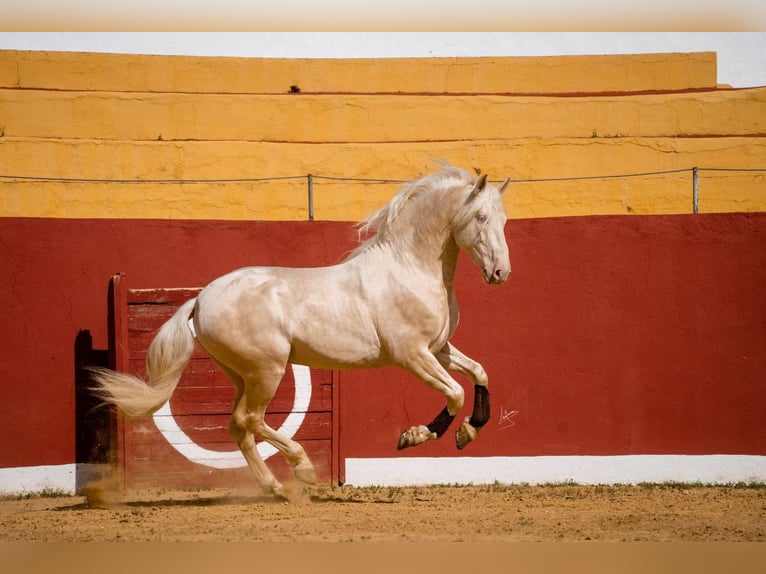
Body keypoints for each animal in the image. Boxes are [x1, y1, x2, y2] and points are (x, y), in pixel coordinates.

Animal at [90, 164, 510, 498]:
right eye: (481, 217)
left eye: (504, 220)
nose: (500, 273)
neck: (410, 269)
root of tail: (201, 299)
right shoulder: (412, 355)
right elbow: (455, 392)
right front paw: (415, 436)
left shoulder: (439, 348)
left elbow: (480, 373)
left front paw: (468, 431)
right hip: (268, 369)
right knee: (251, 420)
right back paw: (302, 467)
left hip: (241, 374)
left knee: (238, 425)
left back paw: (274, 487)